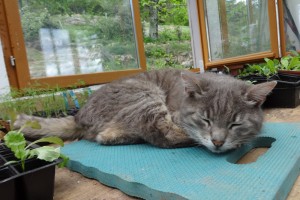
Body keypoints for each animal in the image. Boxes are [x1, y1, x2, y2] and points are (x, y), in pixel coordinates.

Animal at [14, 69, 276, 153]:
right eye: (205, 120)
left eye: (235, 124)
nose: (218, 142)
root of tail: (78, 116)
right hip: (146, 95)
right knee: (161, 133)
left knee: (106, 136)